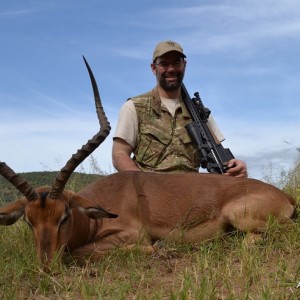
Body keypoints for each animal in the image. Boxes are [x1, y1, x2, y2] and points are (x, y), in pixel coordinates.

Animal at [0, 58, 296, 268]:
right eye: (29, 221)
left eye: (64, 216)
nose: (45, 267)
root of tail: (285, 196)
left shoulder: (130, 234)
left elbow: (79, 253)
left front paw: (160, 248)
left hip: (240, 216)